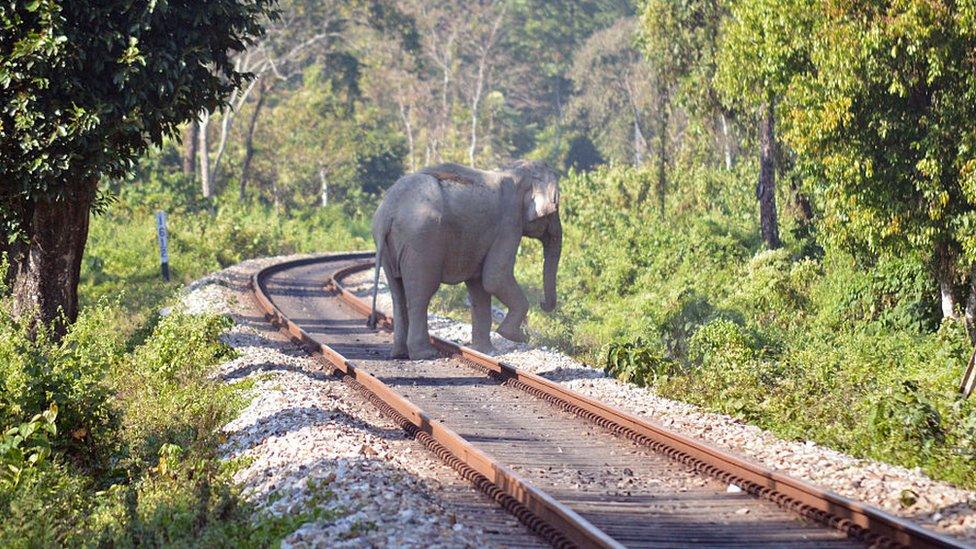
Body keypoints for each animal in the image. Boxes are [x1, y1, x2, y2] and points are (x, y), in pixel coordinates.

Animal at [366, 158, 564, 360]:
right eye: (555, 209)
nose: (542, 303)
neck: (515, 172)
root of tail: (388, 212)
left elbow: (479, 287)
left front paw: (486, 352)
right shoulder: (509, 224)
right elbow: (495, 279)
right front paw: (516, 336)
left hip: (389, 247)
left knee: (397, 292)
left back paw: (399, 353)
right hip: (421, 241)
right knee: (420, 294)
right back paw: (426, 354)